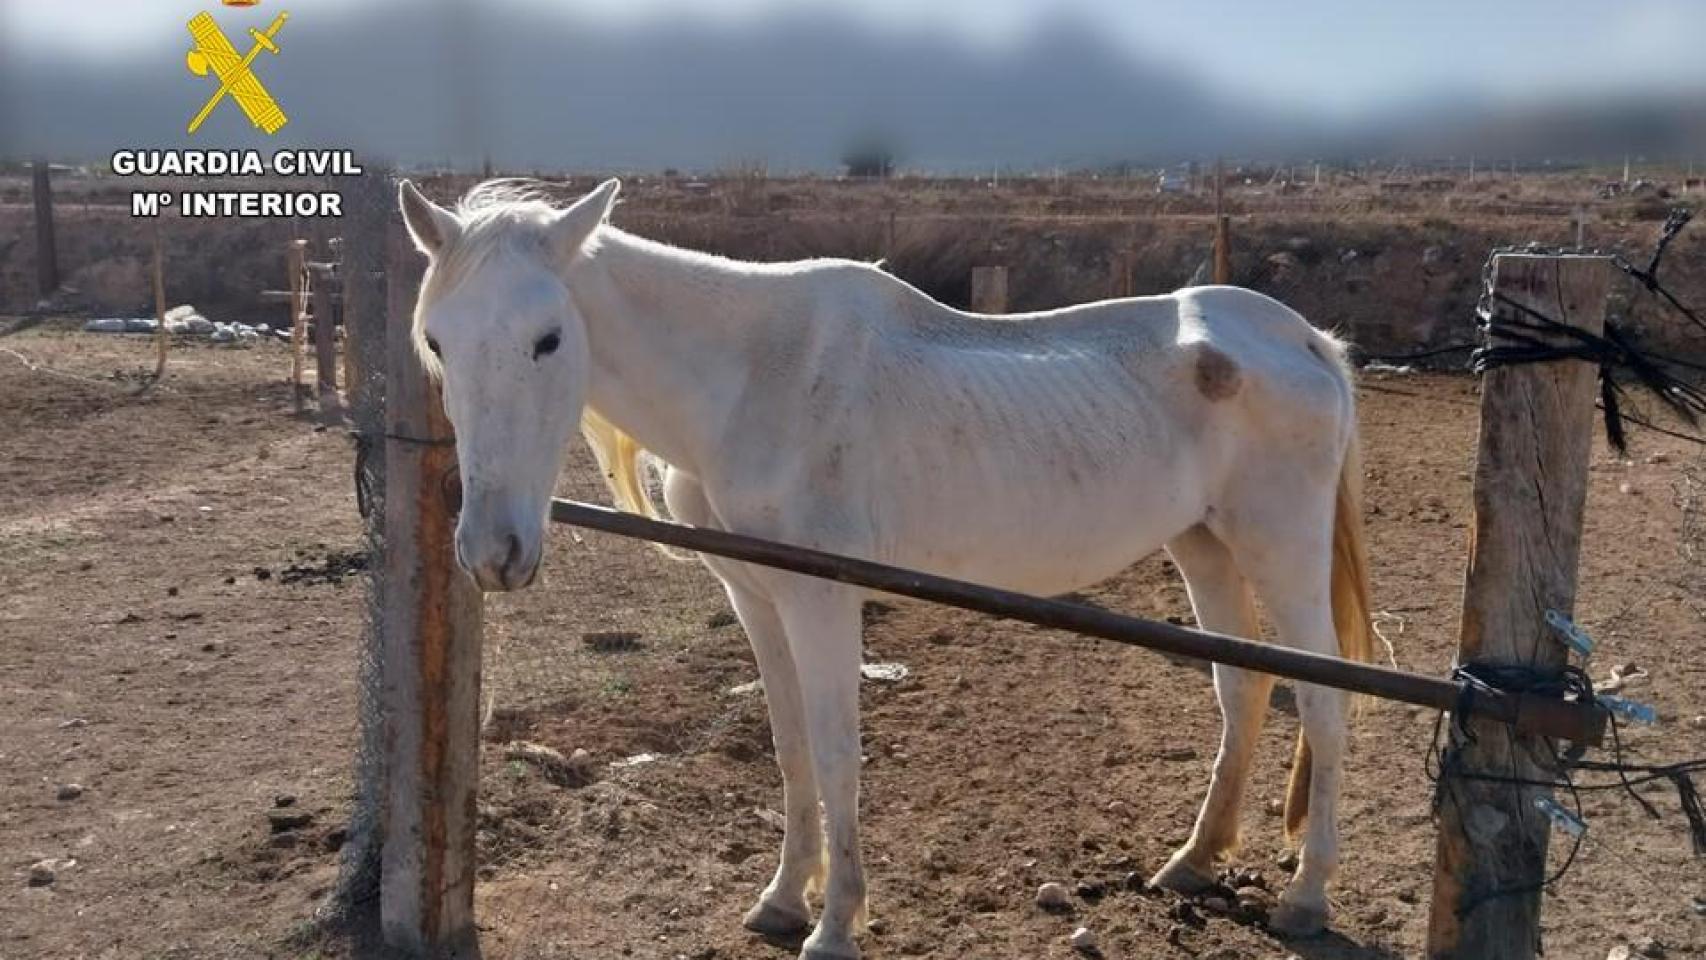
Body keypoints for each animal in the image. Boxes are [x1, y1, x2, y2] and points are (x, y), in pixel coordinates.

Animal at [399, 176, 1371, 954]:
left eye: (549, 339)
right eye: (438, 342)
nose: (492, 553)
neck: (753, 380)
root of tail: (1304, 340)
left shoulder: (822, 601)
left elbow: (836, 756)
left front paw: (834, 925)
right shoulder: (755, 597)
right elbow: (790, 748)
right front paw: (783, 899)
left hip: (1280, 550)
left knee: (1322, 701)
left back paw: (1307, 897)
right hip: (1204, 545)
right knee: (1242, 688)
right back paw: (1194, 860)